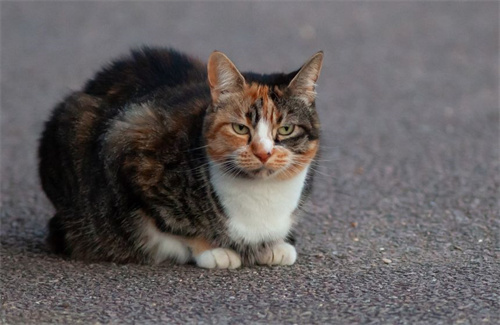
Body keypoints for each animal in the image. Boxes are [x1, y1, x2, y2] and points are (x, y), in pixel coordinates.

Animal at [37, 46, 322, 268]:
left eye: (286, 129)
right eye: (240, 128)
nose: (264, 152)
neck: (262, 196)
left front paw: (276, 245)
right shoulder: (128, 149)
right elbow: (172, 224)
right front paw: (212, 250)